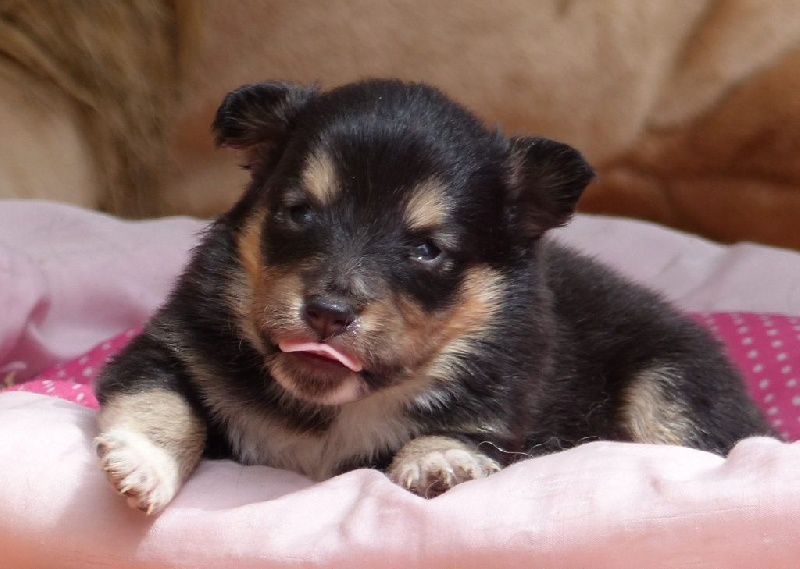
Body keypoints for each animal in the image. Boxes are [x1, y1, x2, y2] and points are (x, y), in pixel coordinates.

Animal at [94, 79, 771, 514]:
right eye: (299, 213)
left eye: (426, 250)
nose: (328, 314)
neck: (335, 409)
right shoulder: (169, 349)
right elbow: (163, 403)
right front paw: (139, 466)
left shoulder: (505, 405)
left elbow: (466, 430)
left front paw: (438, 463)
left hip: (672, 381)